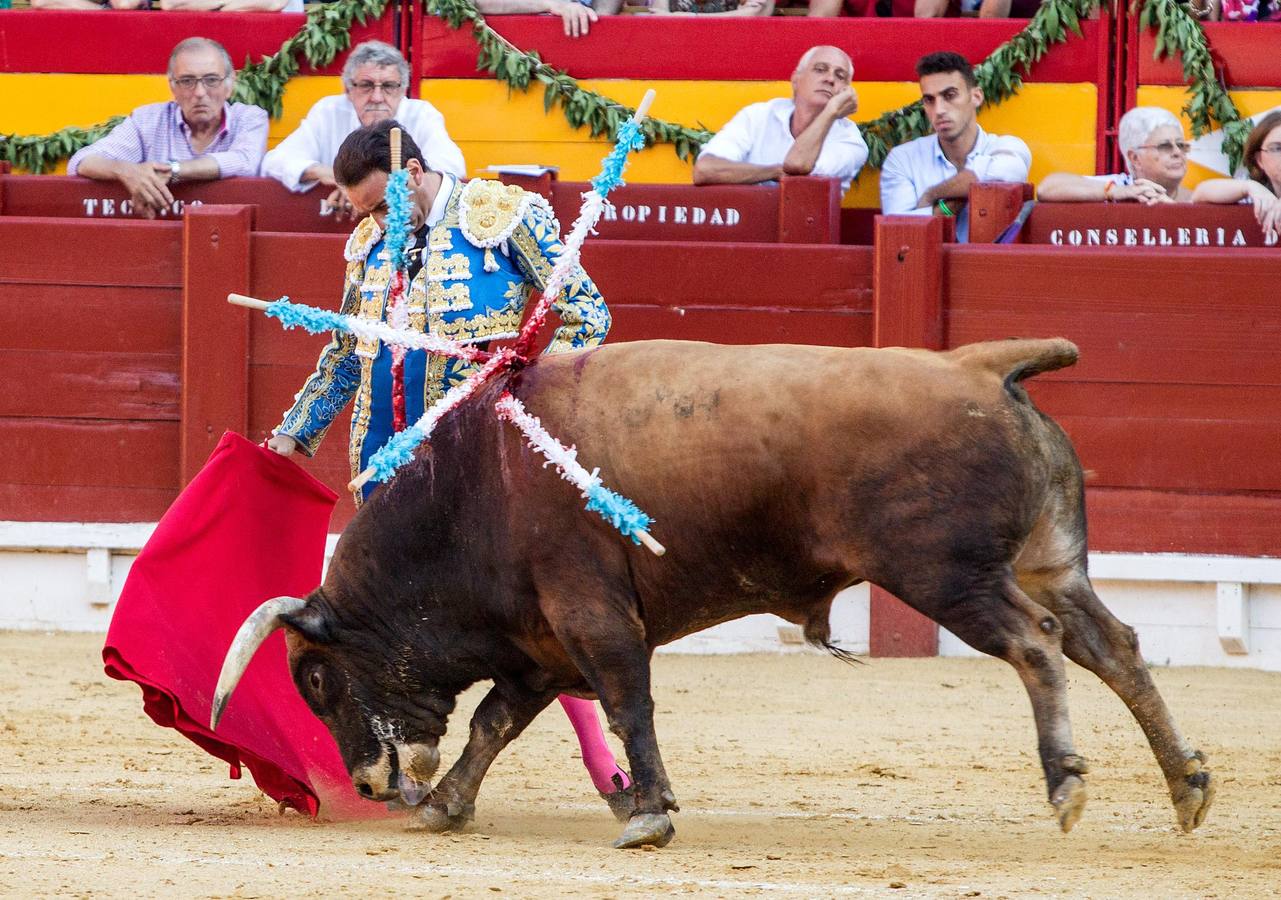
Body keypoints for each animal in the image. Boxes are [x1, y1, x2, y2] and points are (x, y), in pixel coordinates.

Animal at [210, 340, 1209, 850]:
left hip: (944, 575)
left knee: (1036, 644)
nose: (368, 784)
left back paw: (1066, 785)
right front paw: (449, 803)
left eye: (317, 680)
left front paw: (647, 813)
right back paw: (1188, 783)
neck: (470, 490)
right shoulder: (542, 645)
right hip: (1049, 562)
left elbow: (626, 703)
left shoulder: (591, 617)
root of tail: (977, 366)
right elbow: (497, 722)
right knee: (1112, 646)